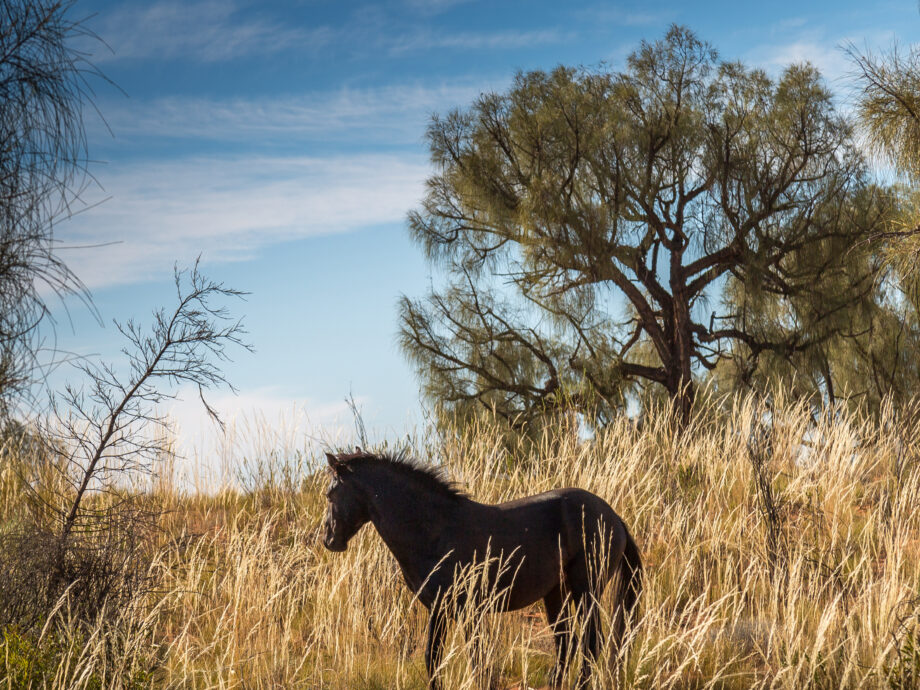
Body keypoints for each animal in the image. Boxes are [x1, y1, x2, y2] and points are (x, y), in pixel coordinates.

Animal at [321, 449, 642, 689]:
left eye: (330, 494)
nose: (328, 539)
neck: (434, 529)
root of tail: (613, 517)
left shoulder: (457, 608)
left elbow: (465, 660)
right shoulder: (447, 609)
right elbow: (445, 660)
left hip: (586, 591)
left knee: (591, 643)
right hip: (556, 594)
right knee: (566, 643)